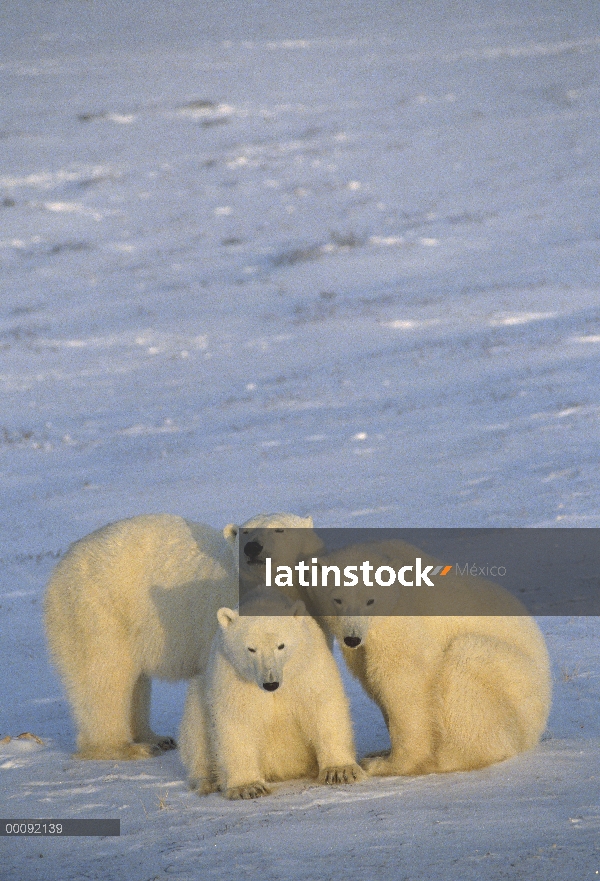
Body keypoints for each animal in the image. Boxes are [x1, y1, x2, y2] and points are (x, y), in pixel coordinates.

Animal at [44, 512, 322, 760]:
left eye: (279, 529)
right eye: (245, 533)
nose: (252, 548)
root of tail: (61, 567)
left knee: (134, 682)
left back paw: (156, 738)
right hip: (98, 609)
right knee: (105, 676)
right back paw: (125, 747)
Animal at [178, 592, 366, 796]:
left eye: (281, 645)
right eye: (251, 648)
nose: (270, 683)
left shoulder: (306, 666)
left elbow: (322, 707)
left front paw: (340, 771)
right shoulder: (233, 675)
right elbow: (236, 720)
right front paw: (248, 787)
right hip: (199, 694)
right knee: (195, 727)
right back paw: (208, 783)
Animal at [310, 536, 552, 776]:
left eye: (370, 600)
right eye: (337, 599)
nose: (352, 638)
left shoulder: (399, 620)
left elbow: (403, 683)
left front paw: (388, 764)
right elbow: (373, 680)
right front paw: (383, 752)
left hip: (517, 685)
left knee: (465, 661)